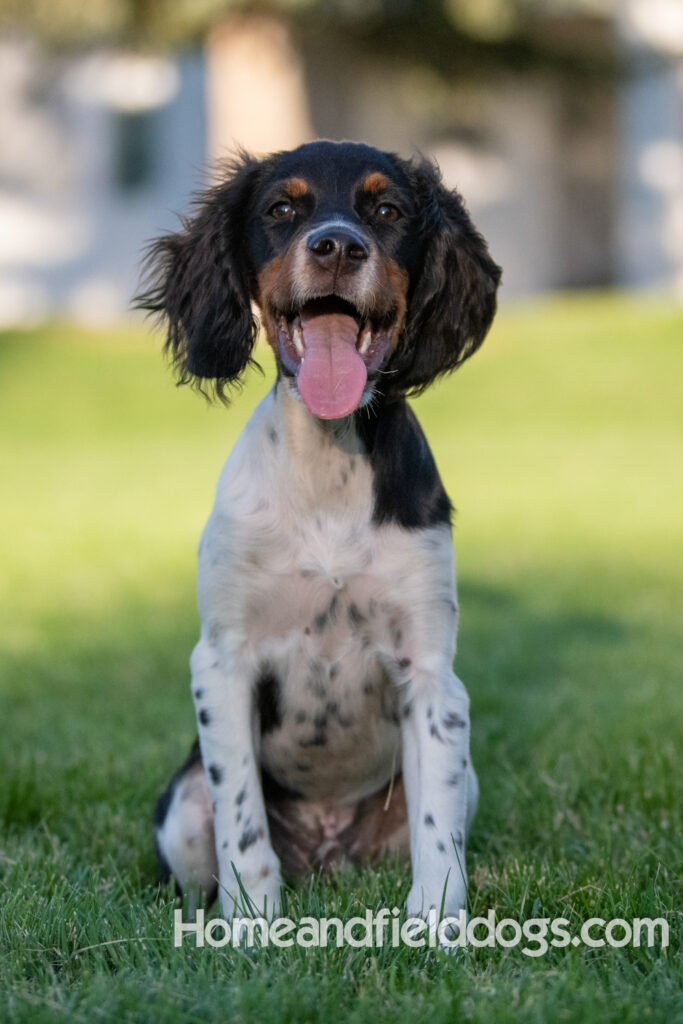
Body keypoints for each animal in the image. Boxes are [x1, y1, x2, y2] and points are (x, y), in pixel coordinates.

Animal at [140, 138, 501, 929]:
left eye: (387, 210)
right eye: (282, 208)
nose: (336, 246)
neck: (330, 467)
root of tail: (328, 851)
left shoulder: (432, 673)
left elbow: (437, 835)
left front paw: (436, 926)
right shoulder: (221, 661)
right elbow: (243, 824)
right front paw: (251, 925)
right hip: (181, 806)